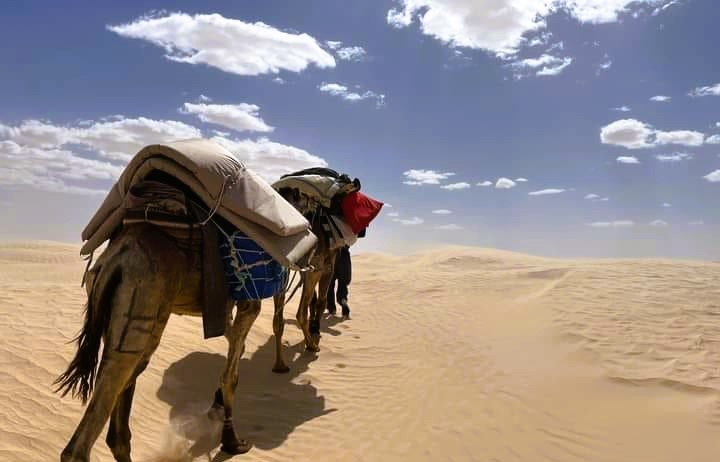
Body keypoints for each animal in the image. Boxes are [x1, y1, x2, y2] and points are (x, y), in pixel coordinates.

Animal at [55, 222, 264, 460]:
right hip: (144, 303)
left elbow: (237, 349)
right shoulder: (249, 298)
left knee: (119, 411)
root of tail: (119, 257)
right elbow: (231, 375)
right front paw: (232, 442)